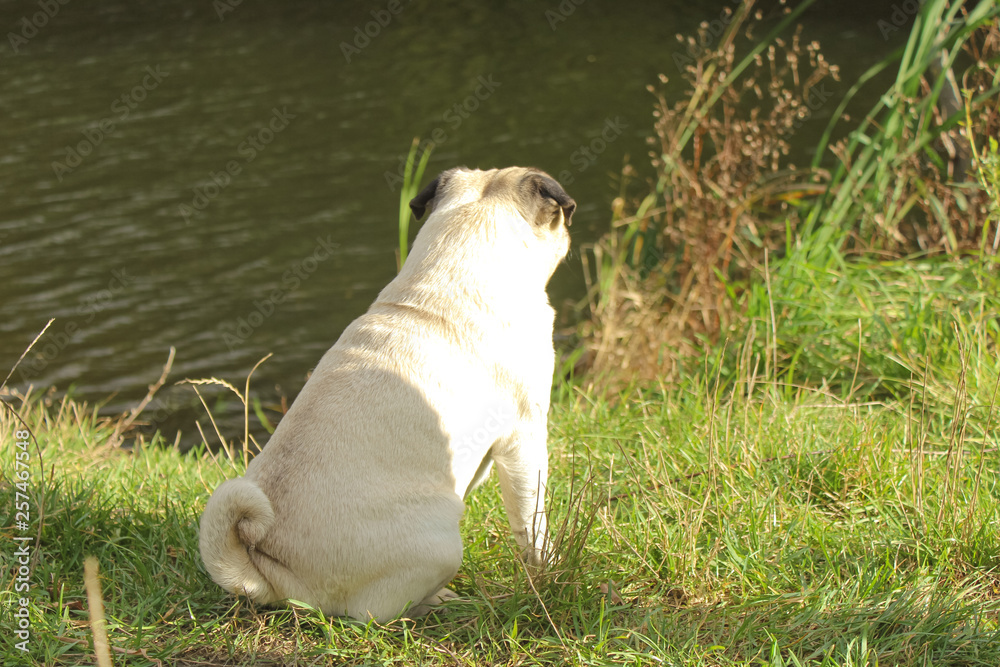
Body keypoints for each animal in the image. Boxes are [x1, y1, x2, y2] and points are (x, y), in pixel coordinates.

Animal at [199, 166, 576, 620]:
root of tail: (271, 570)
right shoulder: (524, 438)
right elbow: (532, 521)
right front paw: (548, 569)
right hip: (441, 540)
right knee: (379, 614)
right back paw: (441, 602)